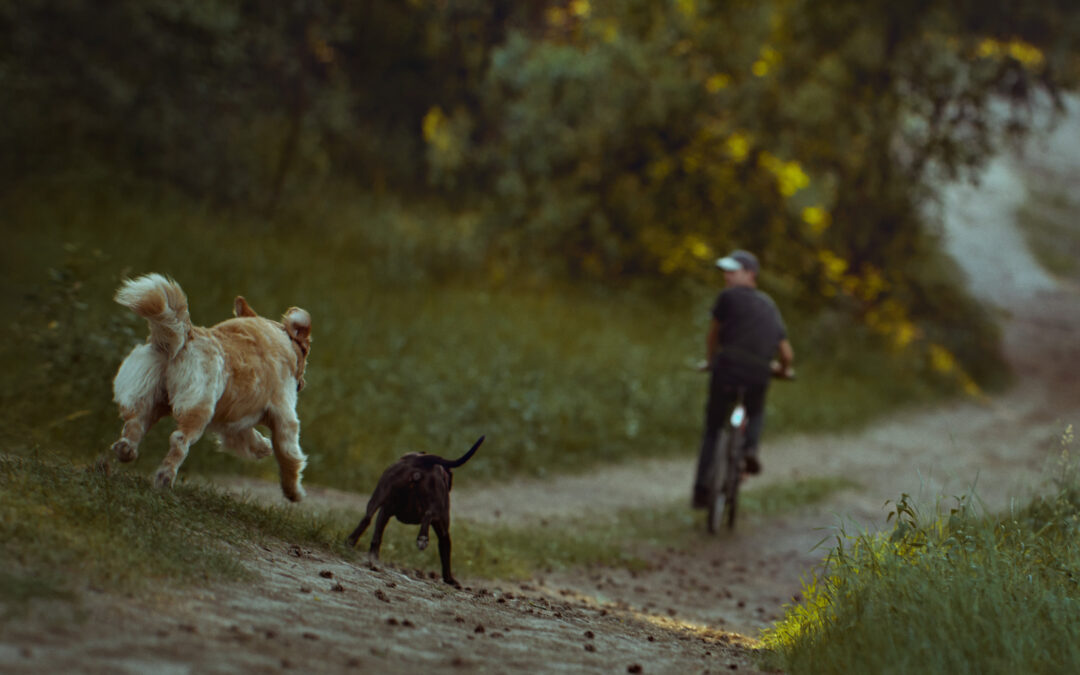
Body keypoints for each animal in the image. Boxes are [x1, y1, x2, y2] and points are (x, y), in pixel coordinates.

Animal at [110, 274, 313, 501]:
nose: (302, 383)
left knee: (134, 425)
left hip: (149, 399)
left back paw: (125, 450)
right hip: (199, 409)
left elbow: (250, 437)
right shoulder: (286, 418)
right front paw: (294, 492)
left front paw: (263, 448)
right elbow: (290, 457)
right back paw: (164, 478)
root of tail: (186, 335)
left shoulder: (234, 421)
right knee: (179, 441)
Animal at [345, 436, 486, 583]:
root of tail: (419, 461)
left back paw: (351, 542)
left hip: (379, 495)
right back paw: (422, 539)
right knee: (428, 515)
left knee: (366, 518)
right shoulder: (443, 530)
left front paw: (374, 556)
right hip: (437, 506)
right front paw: (449, 579)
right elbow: (446, 555)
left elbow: (377, 536)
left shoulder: (384, 511)